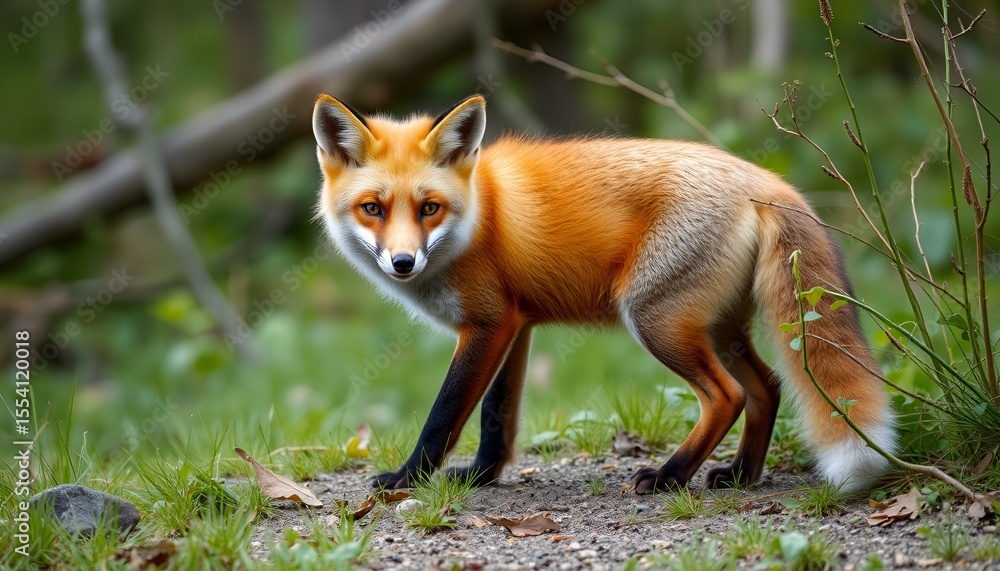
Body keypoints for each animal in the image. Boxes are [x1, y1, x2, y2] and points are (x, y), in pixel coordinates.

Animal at [311, 93, 896, 494]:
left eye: (429, 208)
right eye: (373, 208)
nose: (403, 263)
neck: (479, 214)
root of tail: (763, 179)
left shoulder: (488, 325)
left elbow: (445, 413)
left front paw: (408, 480)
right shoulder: (515, 324)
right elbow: (496, 417)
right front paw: (480, 476)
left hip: (654, 319)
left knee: (726, 395)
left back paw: (669, 477)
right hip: (718, 329)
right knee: (768, 385)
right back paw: (739, 474)